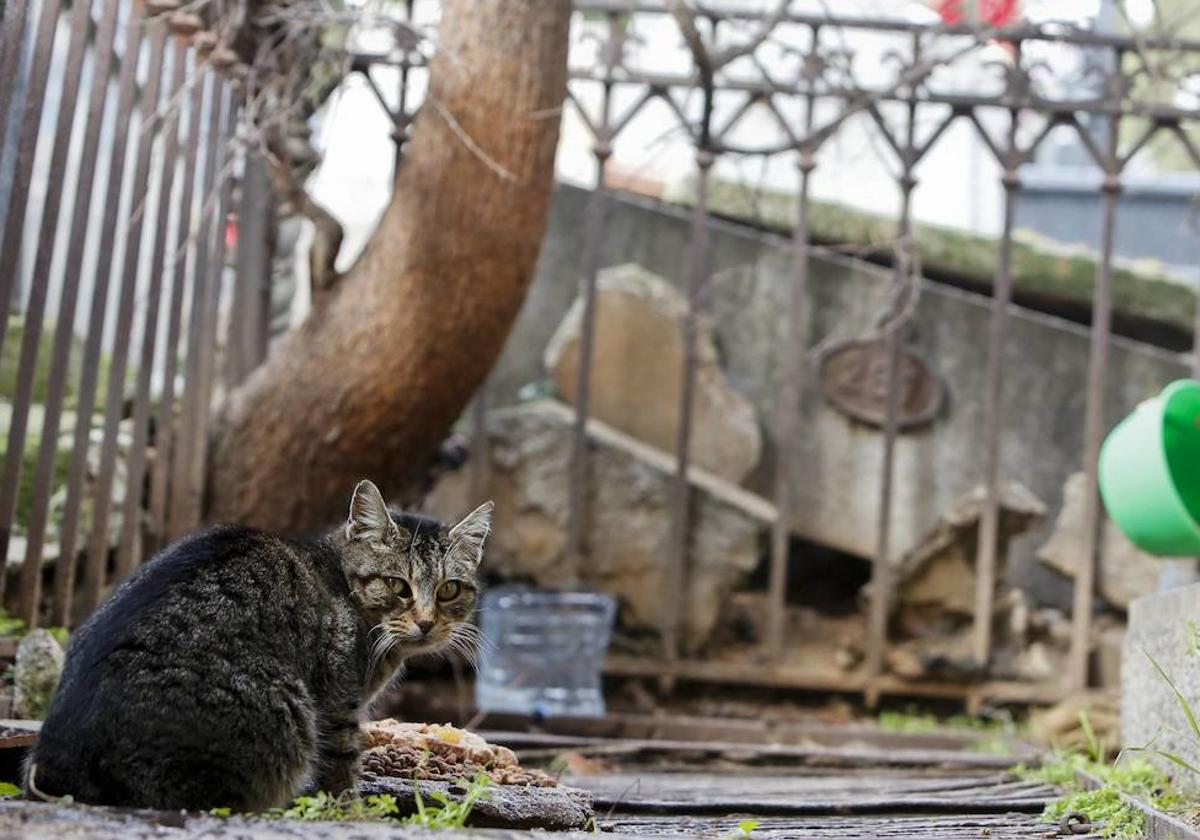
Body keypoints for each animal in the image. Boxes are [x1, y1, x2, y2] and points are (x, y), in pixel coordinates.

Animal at [25, 482, 489, 811]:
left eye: (449, 590)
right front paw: (354, 814)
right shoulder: (338, 705)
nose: (427, 622)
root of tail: (60, 762)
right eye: (398, 586)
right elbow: (341, 770)